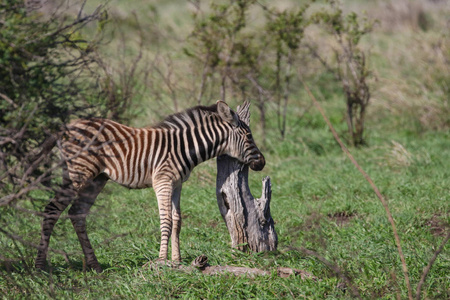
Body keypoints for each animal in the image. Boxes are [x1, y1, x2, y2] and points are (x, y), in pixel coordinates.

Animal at [37, 101, 268, 272]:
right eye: (249, 136)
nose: (263, 162)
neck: (184, 148)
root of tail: (65, 128)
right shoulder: (163, 182)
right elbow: (166, 220)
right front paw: (162, 261)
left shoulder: (177, 184)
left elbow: (177, 220)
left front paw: (177, 261)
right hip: (78, 173)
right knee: (52, 209)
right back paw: (40, 266)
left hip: (96, 178)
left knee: (77, 212)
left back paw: (94, 265)